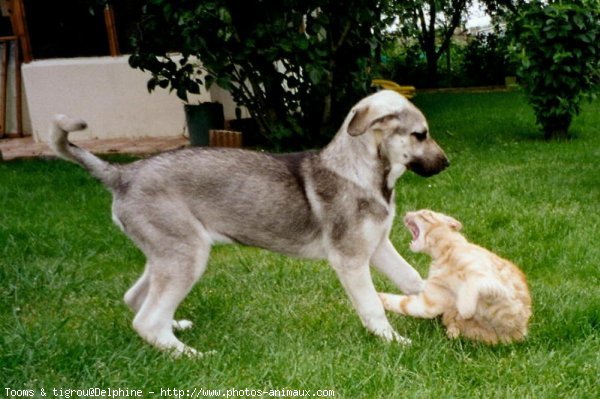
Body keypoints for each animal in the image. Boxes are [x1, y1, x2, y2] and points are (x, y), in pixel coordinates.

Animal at [50, 90, 446, 356]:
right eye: (420, 135)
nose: (447, 164)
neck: (365, 172)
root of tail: (121, 175)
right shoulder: (350, 260)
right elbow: (372, 306)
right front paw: (394, 341)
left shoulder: (377, 246)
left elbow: (413, 279)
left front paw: (441, 304)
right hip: (185, 255)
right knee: (146, 320)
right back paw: (190, 355)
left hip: (167, 253)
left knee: (138, 300)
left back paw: (175, 328)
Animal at [380, 211, 528, 346]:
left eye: (423, 214)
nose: (407, 213)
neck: (444, 254)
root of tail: (520, 333)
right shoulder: (429, 304)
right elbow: (401, 303)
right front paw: (378, 297)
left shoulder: (486, 275)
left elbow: (473, 285)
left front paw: (464, 307)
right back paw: (453, 328)